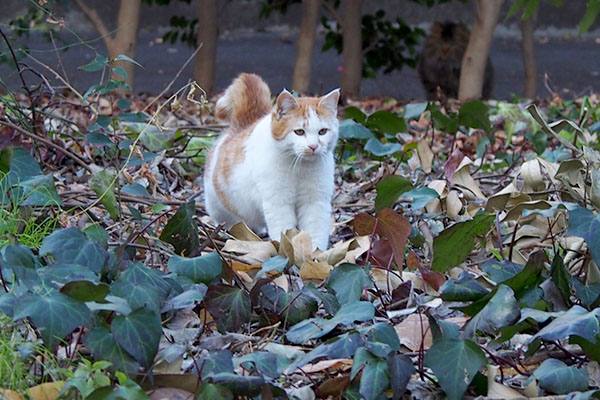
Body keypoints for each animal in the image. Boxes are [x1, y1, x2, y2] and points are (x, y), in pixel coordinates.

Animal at [204, 74, 340, 250]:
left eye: (322, 131)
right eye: (299, 132)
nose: (313, 146)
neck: (300, 168)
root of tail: (243, 125)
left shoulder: (315, 202)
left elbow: (315, 232)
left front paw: (315, 254)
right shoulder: (278, 204)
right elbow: (284, 230)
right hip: (218, 208)